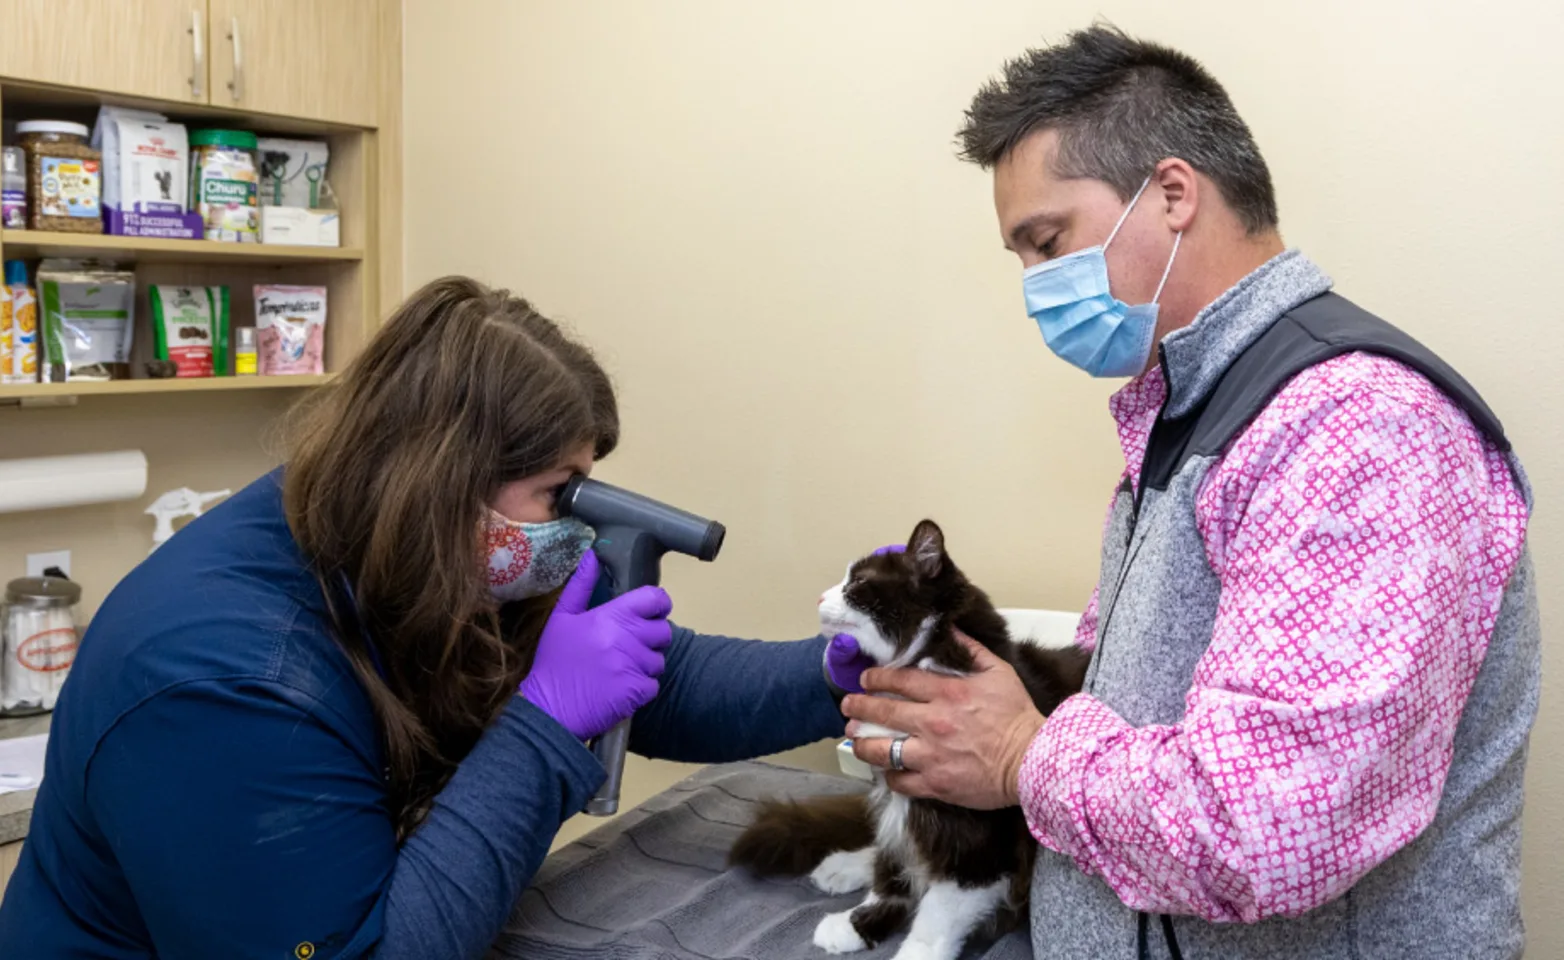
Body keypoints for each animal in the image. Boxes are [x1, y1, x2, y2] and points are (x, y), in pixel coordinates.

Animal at [728, 522, 1088, 960]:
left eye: (858, 583)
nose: (819, 597)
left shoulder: (981, 840)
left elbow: (937, 912)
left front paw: (912, 949)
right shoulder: (899, 788)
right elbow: (891, 874)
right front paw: (856, 923)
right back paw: (844, 866)